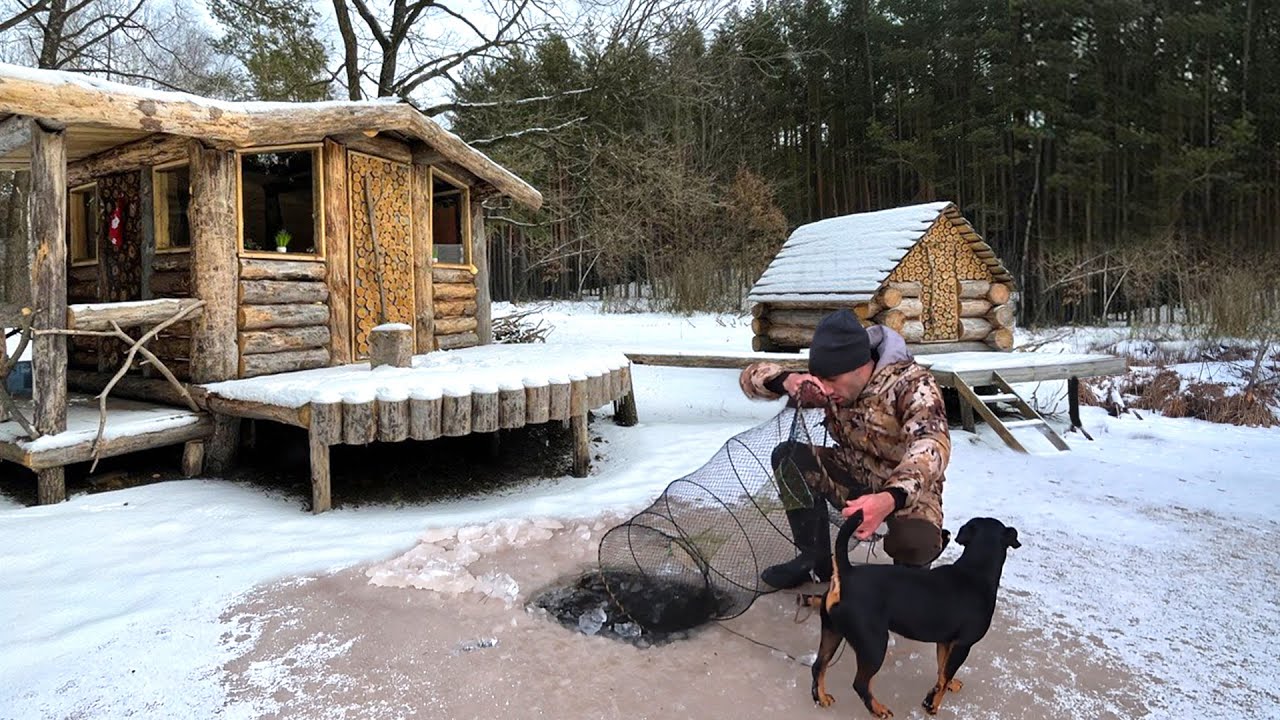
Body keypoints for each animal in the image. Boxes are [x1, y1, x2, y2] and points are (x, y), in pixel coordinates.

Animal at [798, 507, 1018, 712]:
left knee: (819, 666)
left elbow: (943, 670)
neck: (975, 571)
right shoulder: (963, 644)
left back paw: (821, 697)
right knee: (860, 684)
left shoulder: (945, 641)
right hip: (874, 644)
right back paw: (879, 710)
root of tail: (846, 573)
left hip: (832, 631)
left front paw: (946, 687)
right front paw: (932, 705)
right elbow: (946, 674)